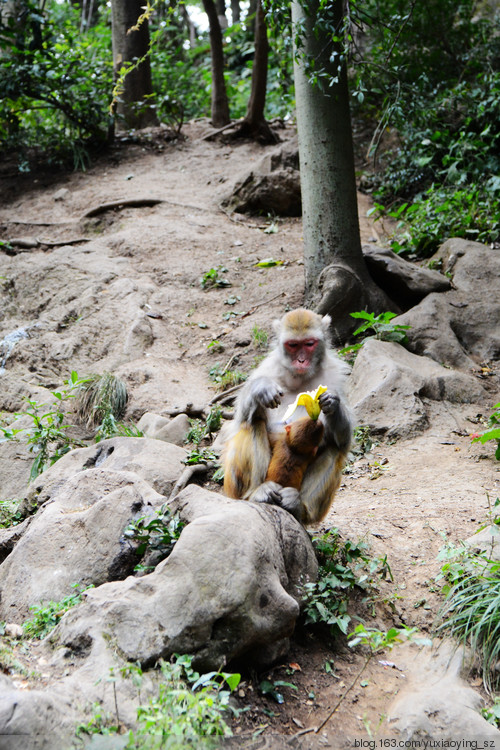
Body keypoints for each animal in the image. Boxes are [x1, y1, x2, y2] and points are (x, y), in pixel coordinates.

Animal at [221, 308, 354, 524]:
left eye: (309, 344)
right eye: (293, 345)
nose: (301, 360)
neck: (298, 380)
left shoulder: (336, 378)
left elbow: (343, 440)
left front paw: (332, 403)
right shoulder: (266, 369)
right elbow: (241, 419)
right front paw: (261, 389)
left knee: (334, 448)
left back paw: (300, 507)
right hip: (232, 489)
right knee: (253, 423)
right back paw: (256, 493)